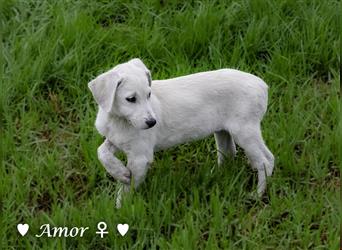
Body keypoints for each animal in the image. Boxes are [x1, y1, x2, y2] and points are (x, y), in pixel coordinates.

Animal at [89, 58, 276, 207]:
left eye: (149, 95)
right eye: (130, 99)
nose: (152, 123)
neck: (120, 120)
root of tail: (263, 85)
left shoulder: (140, 157)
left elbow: (128, 188)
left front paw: (121, 209)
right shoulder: (116, 140)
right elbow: (101, 152)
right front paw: (119, 173)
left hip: (245, 130)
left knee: (266, 160)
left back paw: (256, 195)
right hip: (224, 131)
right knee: (229, 153)